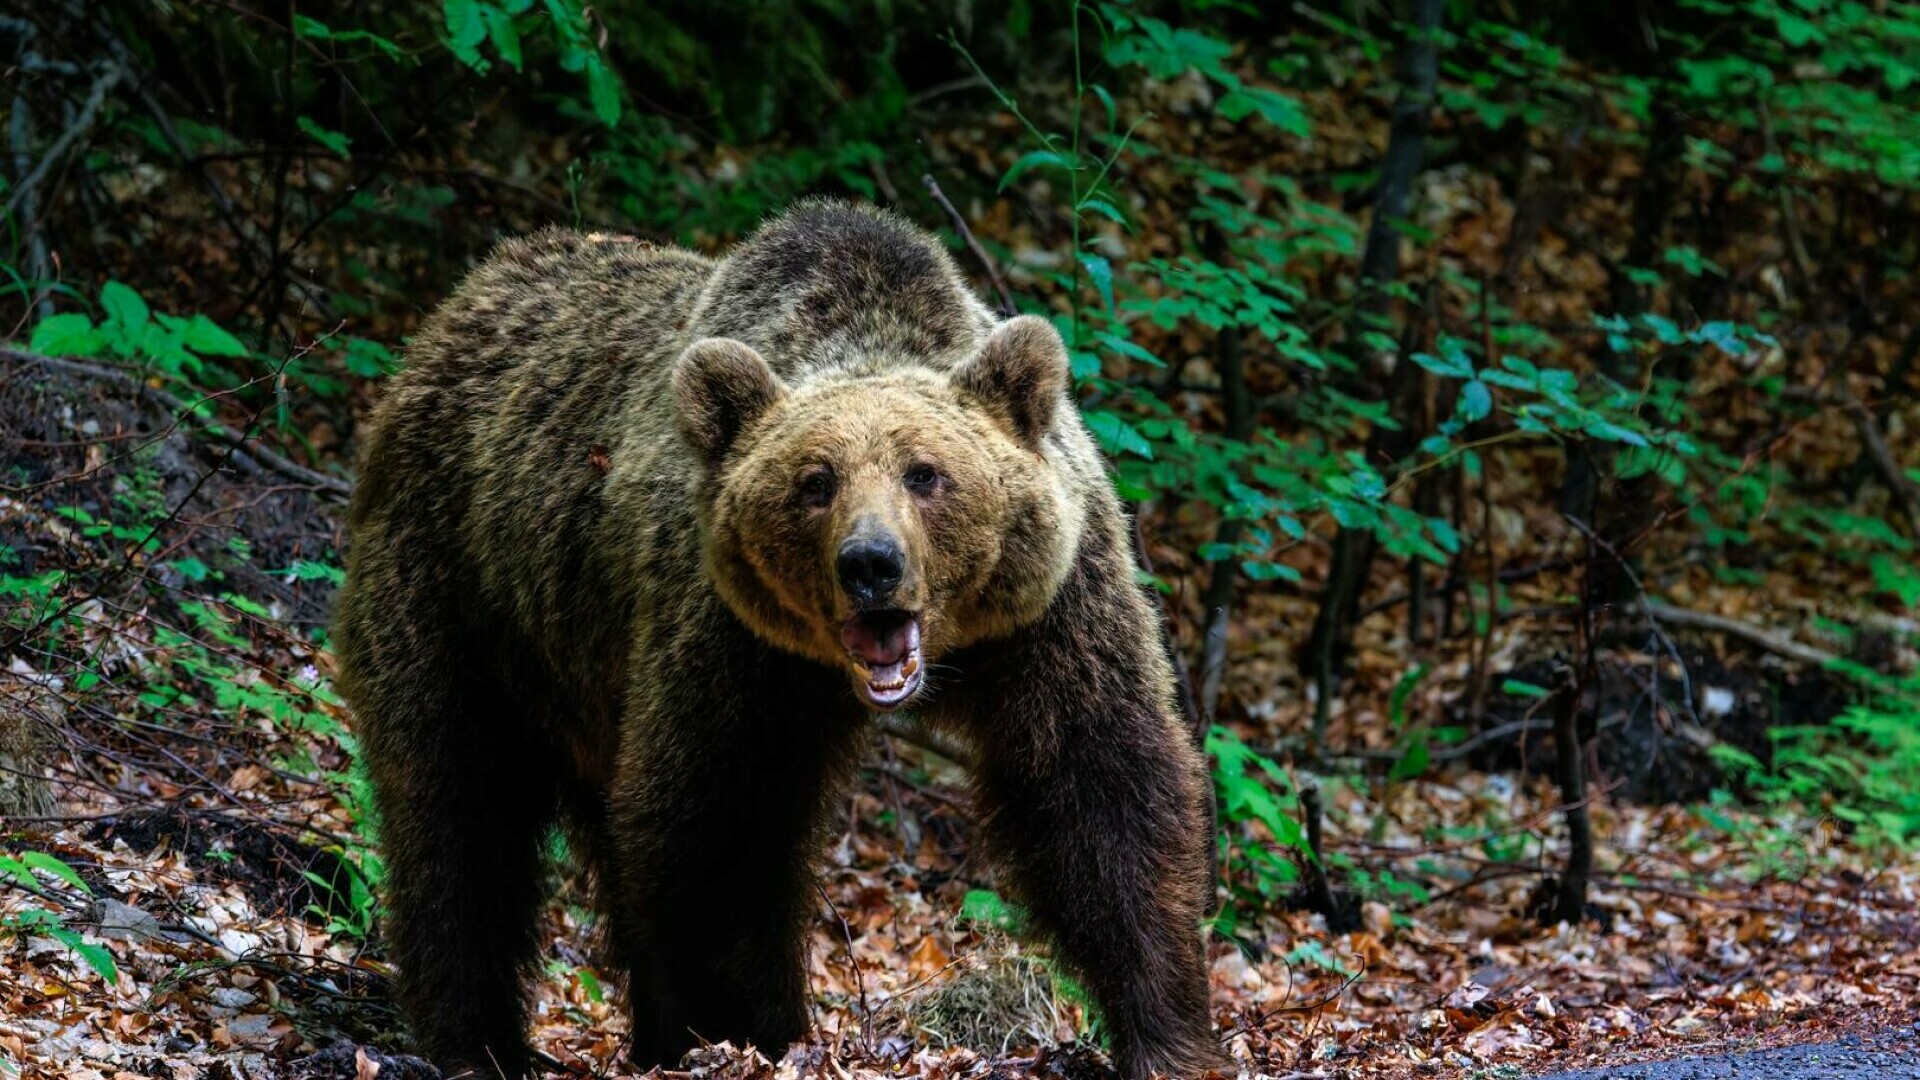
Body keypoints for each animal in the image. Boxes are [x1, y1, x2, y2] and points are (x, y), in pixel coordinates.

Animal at [334, 197, 1213, 1068]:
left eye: (925, 473)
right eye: (815, 483)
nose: (871, 563)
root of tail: (454, 311)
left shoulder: (1049, 614)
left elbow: (1101, 789)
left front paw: (1169, 1031)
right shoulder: (732, 641)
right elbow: (721, 828)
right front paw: (758, 1031)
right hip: (460, 595)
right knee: (457, 812)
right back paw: (478, 1038)